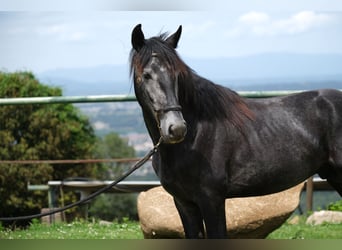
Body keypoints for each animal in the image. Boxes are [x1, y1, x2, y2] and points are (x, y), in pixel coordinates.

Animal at [129, 24, 342, 239]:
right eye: (146, 75)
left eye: (177, 76)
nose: (176, 128)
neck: (195, 137)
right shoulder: (184, 203)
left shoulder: (212, 200)